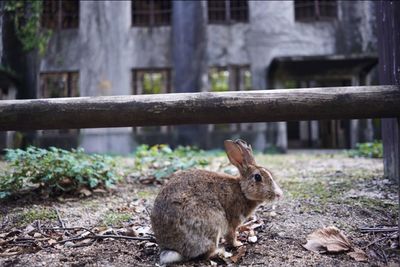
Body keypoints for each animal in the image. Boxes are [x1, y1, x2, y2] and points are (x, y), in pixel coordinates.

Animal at [148, 140, 282, 266]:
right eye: (258, 177)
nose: (279, 195)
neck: (242, 191)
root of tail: (173, 249)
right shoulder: (232, 223)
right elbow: (231, 236)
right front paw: (238, 243)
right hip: (213, 224)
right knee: (207, 253)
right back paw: (221, 252)